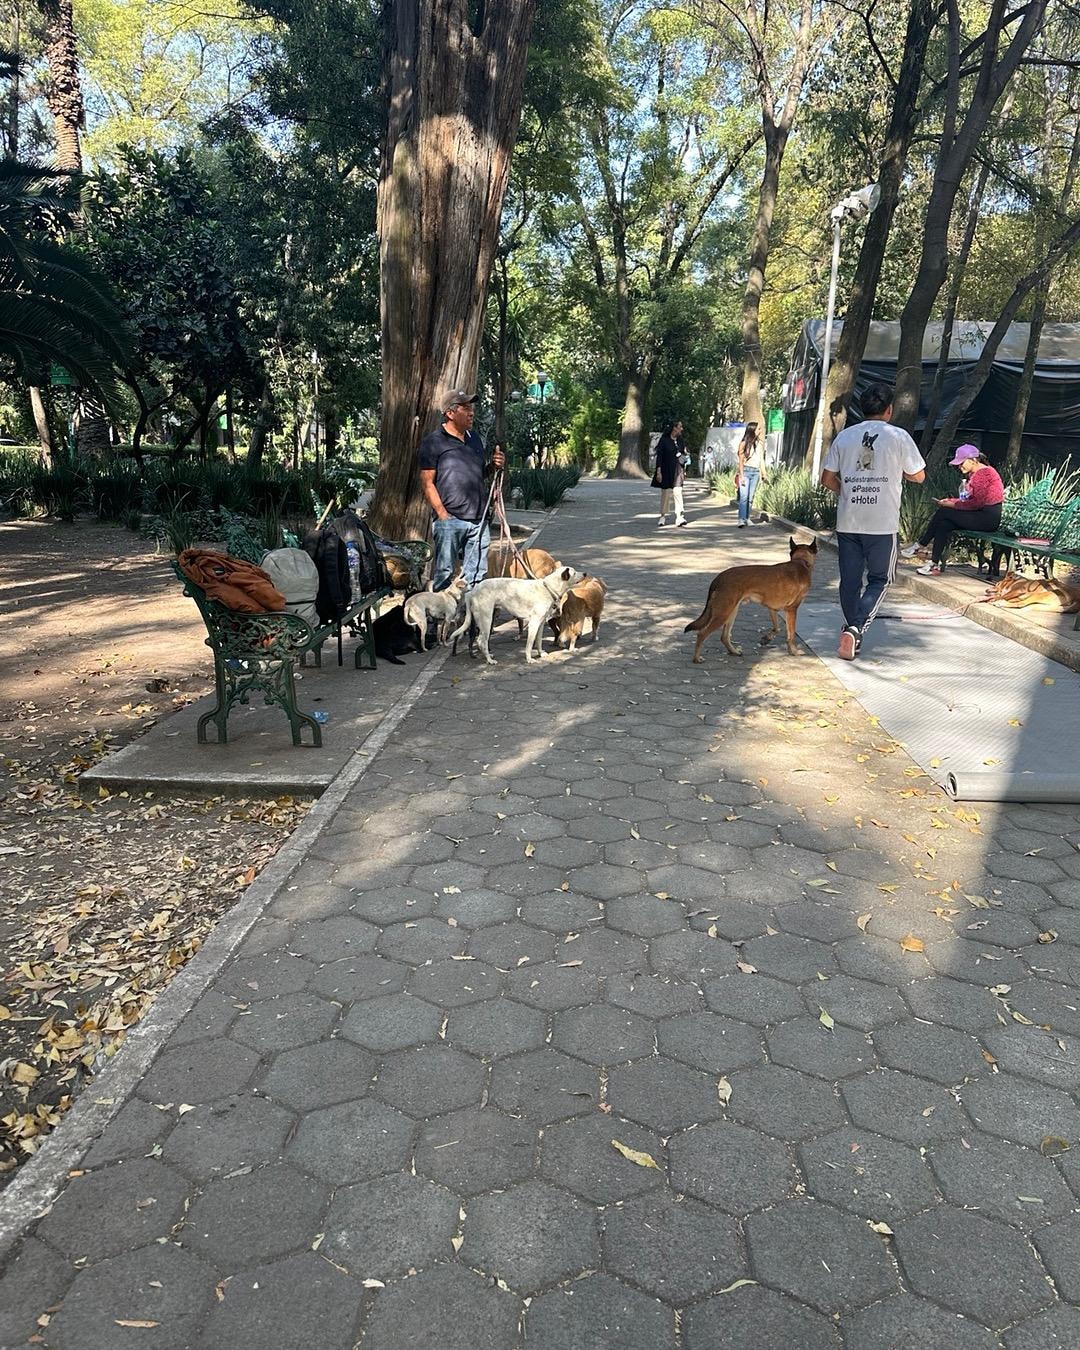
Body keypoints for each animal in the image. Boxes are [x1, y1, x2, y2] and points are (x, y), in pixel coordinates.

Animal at [447, 566, 585, 664]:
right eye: (574, 572)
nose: (585, 574)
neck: (548, 588)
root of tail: (472, 592)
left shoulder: (540, 623)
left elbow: (538, 641)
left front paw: (540, 653)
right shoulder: (534, 624)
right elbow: (530, 644)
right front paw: (529, 659)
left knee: (481, 642)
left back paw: (488, 656)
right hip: (486, 620)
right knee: (481, 641)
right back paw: (489, 660)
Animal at [685, 537, 818, 662]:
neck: (800, 562)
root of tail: (719, 578)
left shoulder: (772, 609)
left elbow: (776, 627)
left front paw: (766, 639)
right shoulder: (792, 610)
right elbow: (791, 635)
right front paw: (794, 651)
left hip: (731, 612)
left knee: (724, 637)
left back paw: (734, 651)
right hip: (723, 614)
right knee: (702, 634)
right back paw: (697, 658)